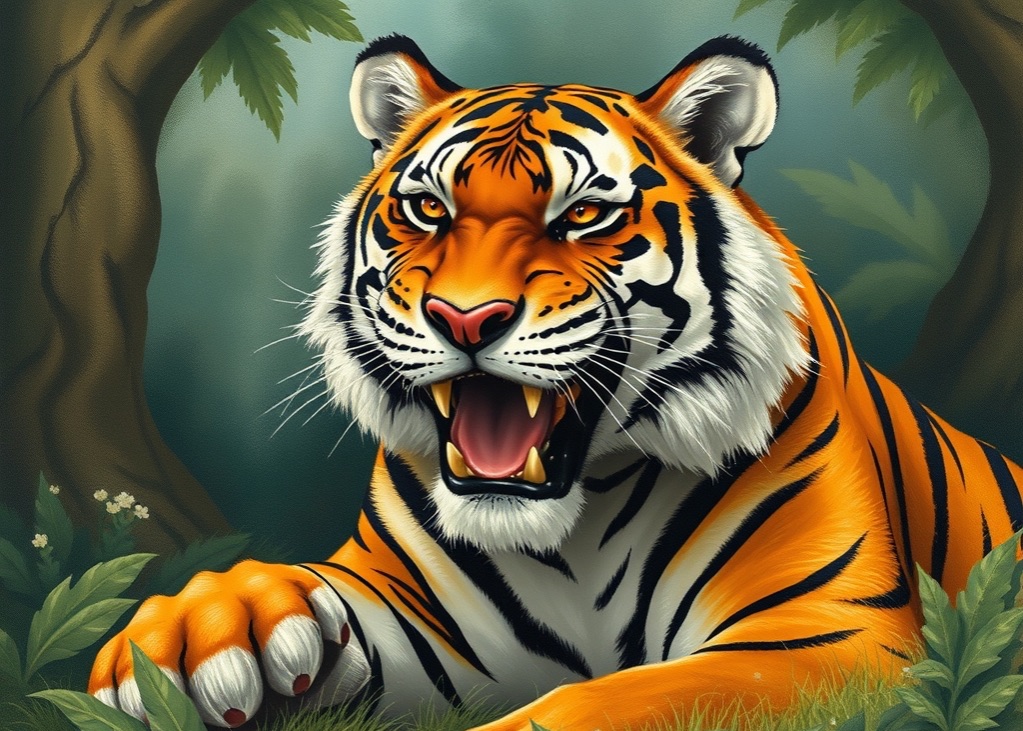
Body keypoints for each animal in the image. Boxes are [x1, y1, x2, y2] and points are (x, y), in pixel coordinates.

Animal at [90, 34, 1023, 730]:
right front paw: (194, 634)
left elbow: (597, 703)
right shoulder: (422, 621)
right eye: (428, 209)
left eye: (582, 215)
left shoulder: (827, 637)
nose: (465, 317)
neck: (576, 525)